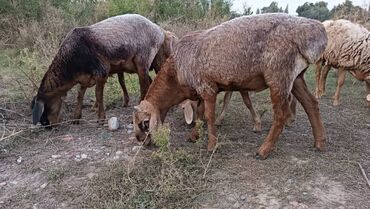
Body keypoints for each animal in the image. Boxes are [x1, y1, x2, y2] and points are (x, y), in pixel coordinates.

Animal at [31, 14, 176, 126]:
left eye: (46, 107)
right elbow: (80, 95)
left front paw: (101, 119)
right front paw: (76, 118)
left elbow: (98, 94)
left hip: (143, 59)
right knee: (151, 81)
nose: (48, 126)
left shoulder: (101, 71)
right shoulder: (85, 78)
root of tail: (160, 30)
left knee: (145, 85)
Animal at [132, 13, 326, 158]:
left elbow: (208, 116)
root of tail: (316, 31)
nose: (142, 141)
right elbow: (200, 113)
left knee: (281, 115)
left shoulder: (207, 87)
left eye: (145, 123)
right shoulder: (202, 90)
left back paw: (263, 150)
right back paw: (319, 143)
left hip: (279, 75)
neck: (175, 75)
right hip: (296, 76)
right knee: (311, 104)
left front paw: (211, 145)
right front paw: (194, 136)